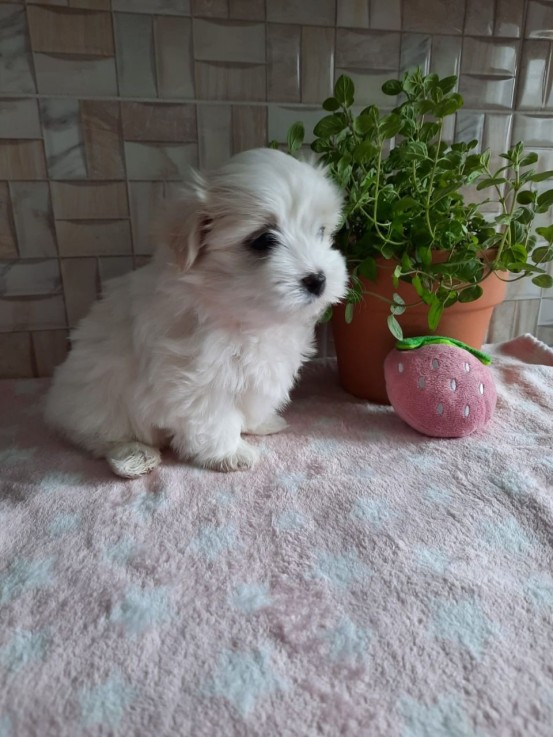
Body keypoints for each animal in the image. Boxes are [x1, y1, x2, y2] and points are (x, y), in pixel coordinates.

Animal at [45, 148, 344, 478]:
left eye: (321, 231)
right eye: (264, 240)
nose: (318, 280)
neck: (243, 315)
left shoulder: (266, 367)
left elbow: (256, 400)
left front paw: (263, 423)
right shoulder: (198, 377)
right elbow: (216, 418)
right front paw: (230, 454)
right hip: (97, 400)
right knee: (101, 437)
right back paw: (134, 456)